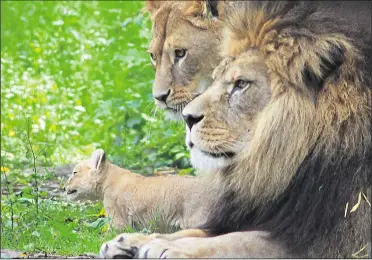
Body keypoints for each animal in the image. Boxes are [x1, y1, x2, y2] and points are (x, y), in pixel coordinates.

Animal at [100, 1, 370, 258]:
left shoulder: (331, 238)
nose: (188, 118)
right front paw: (134, 241)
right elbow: (199, 231)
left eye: (241, 84)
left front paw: (167, 248)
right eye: (153, 56)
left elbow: (240, 241)